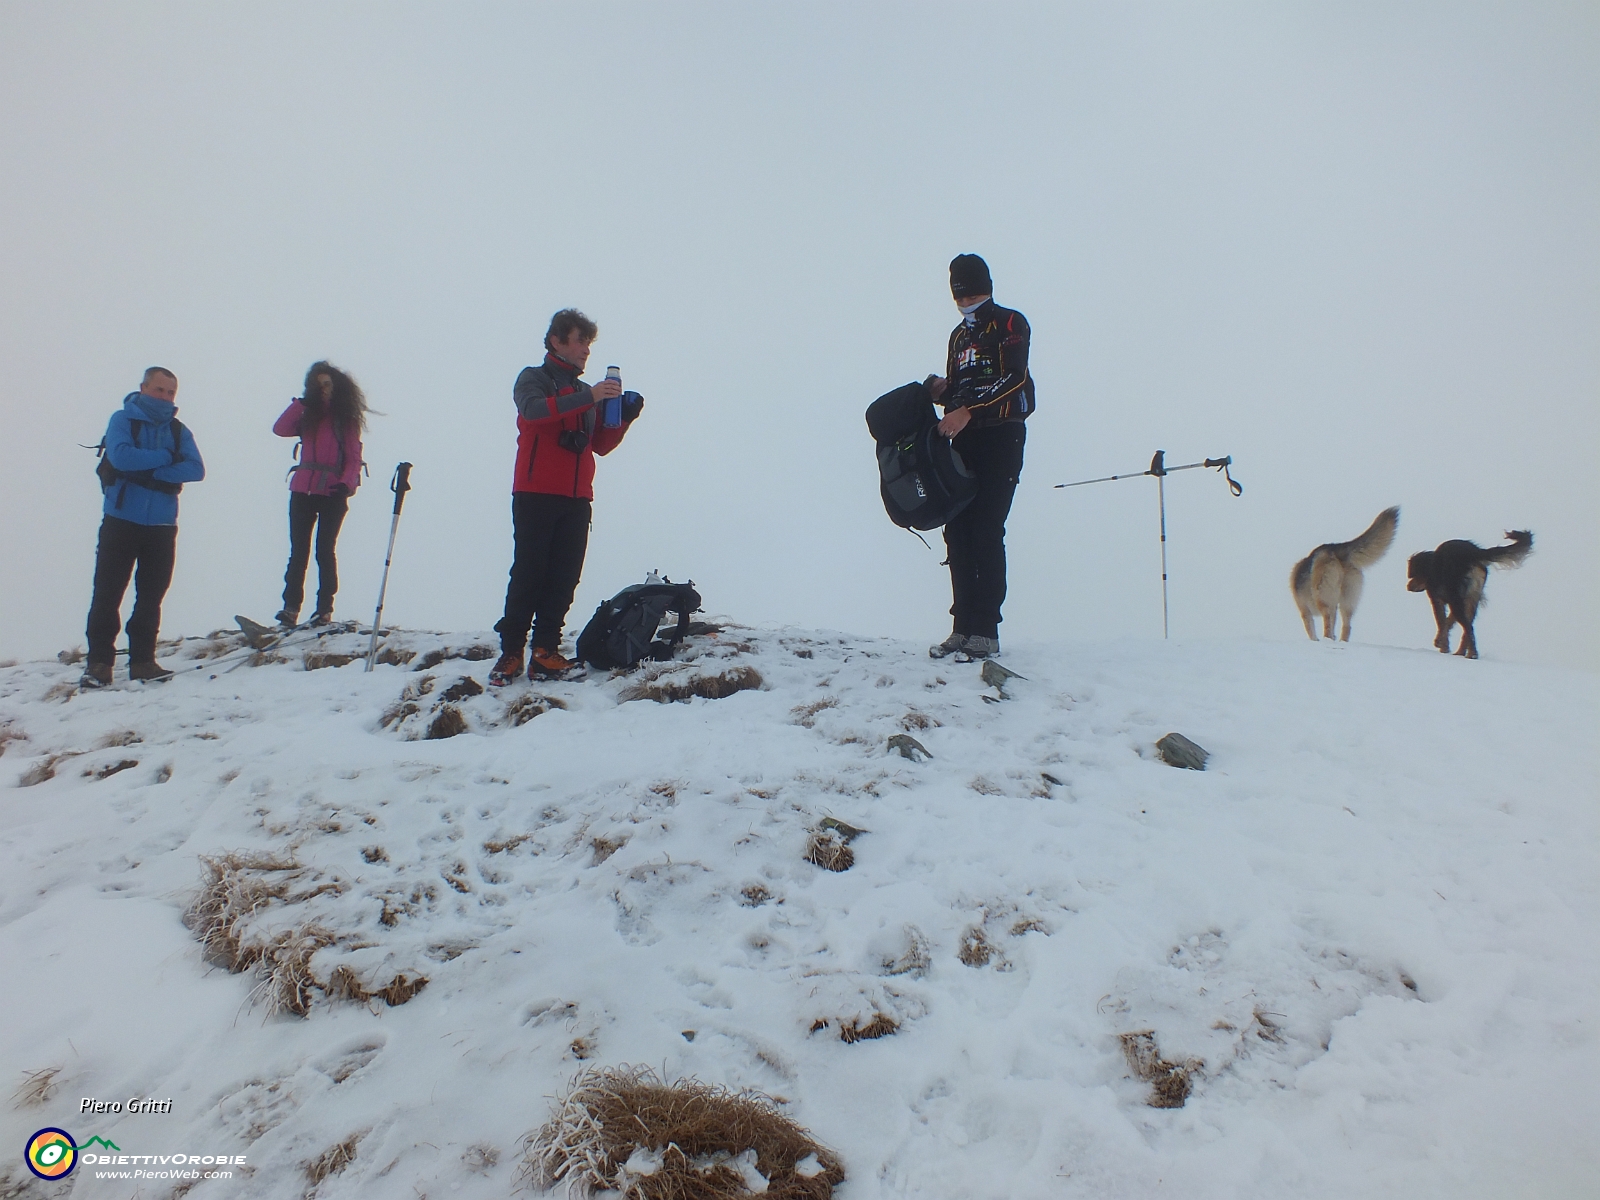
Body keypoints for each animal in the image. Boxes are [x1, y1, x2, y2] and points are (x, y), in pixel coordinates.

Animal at [1292, 505, 1395, 640]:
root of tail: (1335, 548)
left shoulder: (1304, 611)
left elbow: (1311, 631)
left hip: (1323, 599)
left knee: (1328, 621)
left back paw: (1327, 639)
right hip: (1347, 603)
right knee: (1347, 626)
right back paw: (1341, 641)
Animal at [1408, 534, 1529, 662]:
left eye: (1413, 574)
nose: (1408, 586)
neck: (1432, 565)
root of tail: (1473, 552)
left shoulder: (1437, 599)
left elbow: (1441, 622)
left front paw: (1442, 645)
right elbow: (1448, 622)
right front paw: (1441, 642)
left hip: (1457, 598)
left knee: (1468, 627)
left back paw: (1472, 654)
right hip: (1472, 598)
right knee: (1468, 627)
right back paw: (1463, 652)